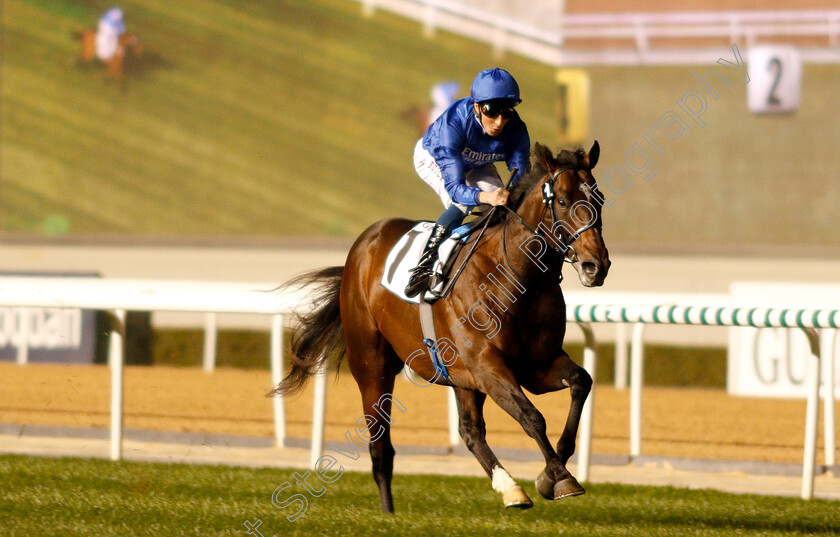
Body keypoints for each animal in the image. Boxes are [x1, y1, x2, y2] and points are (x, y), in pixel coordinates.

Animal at [276, 141, 612, 510]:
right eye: (563, 201)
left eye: (599, 199)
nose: (596, 265)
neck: (519, 280)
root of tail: (363, 244)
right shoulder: (488, 366)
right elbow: (532, 416)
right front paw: (562, 477)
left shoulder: (537, 366)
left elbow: (581, 382)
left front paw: (548, 477)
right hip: (372, 365)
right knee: (380, 445)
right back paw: (388, 512)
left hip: (460, 377)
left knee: (469, 431)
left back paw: (510, 488)